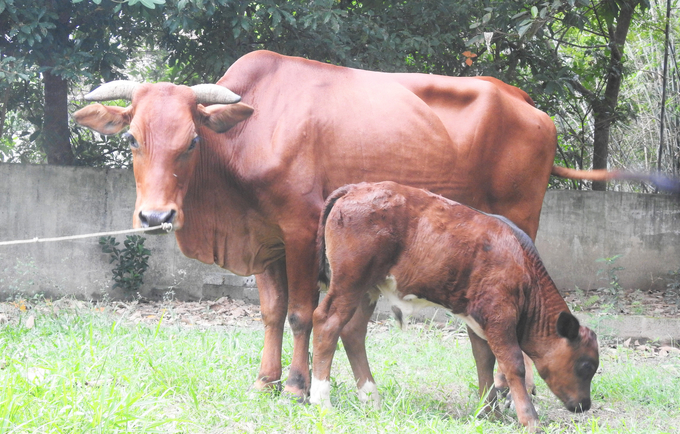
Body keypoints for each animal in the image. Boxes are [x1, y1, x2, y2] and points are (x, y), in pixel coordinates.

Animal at [73, 50, 612, 400]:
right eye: (133, 139)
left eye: (190, 141)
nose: (156, 216)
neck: (247, 136)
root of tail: (525, 101)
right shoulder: (265, 239)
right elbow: (271, 311)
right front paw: (265, 380)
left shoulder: (299, 228)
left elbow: (299, 313)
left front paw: (295, 385)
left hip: (520, 219)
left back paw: (508, 389)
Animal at [310, 181, 596, 430]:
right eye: (586, 366)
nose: (584, 405)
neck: (523, 265)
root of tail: (357, 187)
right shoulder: (500, 316)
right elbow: (513, 363)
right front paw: (530, 420)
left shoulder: (480, 319)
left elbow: (484, 361)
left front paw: (489, 413)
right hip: (350, 281)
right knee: (327, 322)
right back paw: (321, 400)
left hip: (367, 288)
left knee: (353, 332)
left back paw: (371, 399)